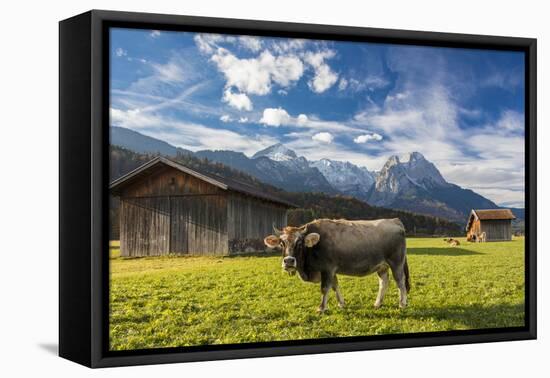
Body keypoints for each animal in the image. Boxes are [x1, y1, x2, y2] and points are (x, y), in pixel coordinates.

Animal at [266, 219, 412, 314]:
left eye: (300, 243)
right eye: (281, 243)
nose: (289, 261)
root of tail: (394, 220)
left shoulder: (327, 268)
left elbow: (325, 288)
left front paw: (321, 308)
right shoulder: (332, 270)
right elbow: (335, 286)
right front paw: (341, 304)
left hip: (396, 263)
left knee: (400, 282)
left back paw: (402, 304)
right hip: (382, 266)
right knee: (384, 282)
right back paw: (377, 303)